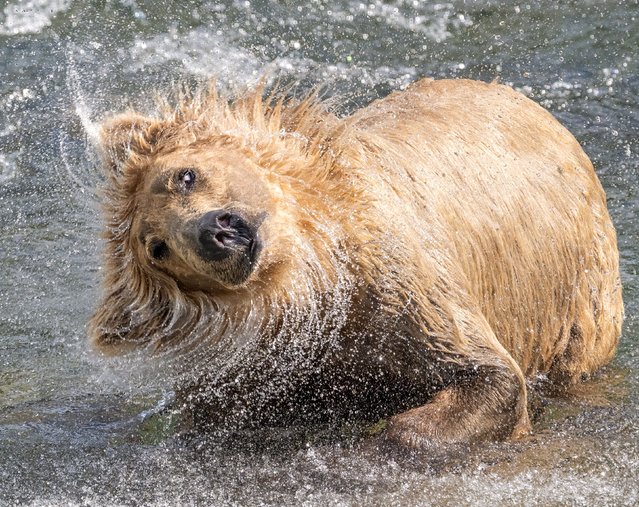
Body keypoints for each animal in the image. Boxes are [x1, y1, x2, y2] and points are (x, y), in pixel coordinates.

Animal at [90, 78, 624, 448]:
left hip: (577, 288)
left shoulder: (399, 281)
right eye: (157, 247)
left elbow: (490, 374)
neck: (316, 284)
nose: (216, 233)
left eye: (186, 175)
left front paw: (394, 427)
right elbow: (204, 413)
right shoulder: (263, 361)